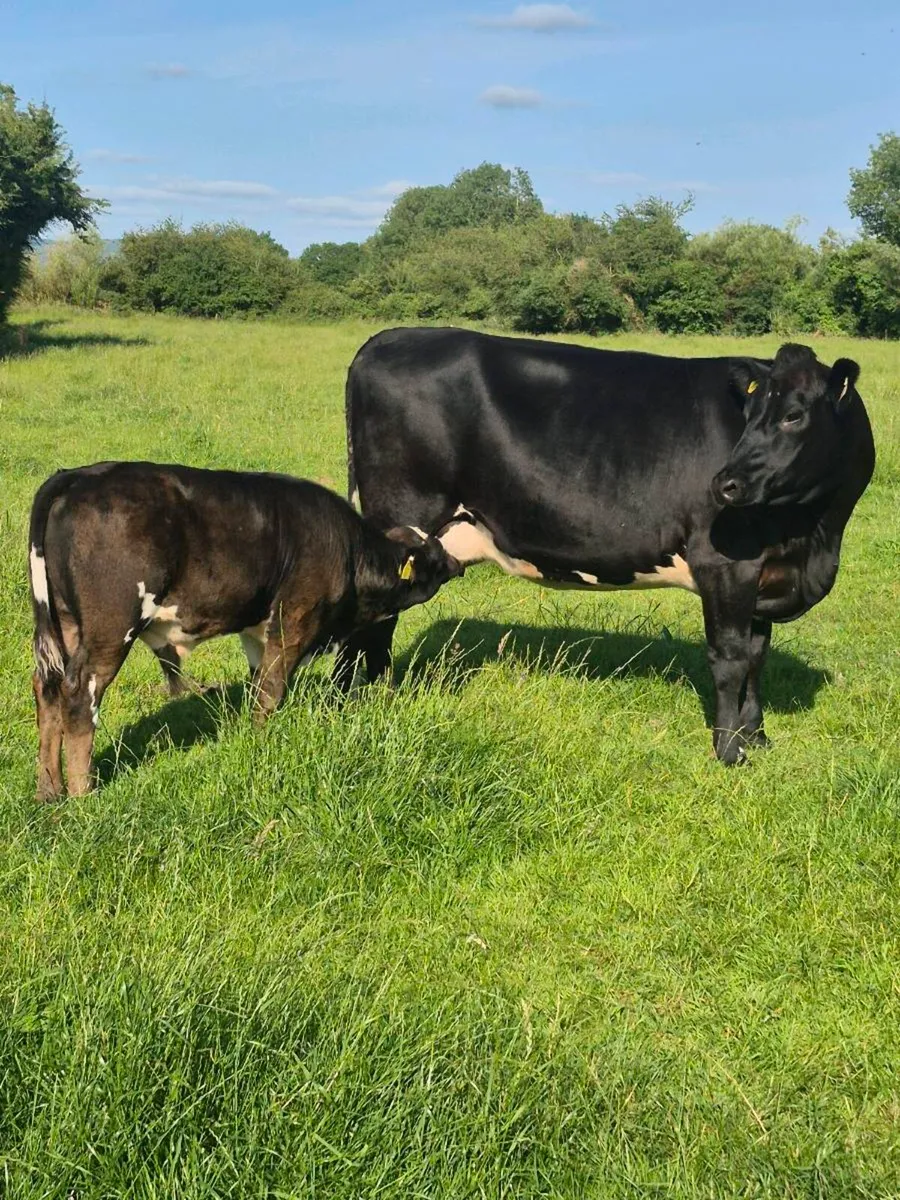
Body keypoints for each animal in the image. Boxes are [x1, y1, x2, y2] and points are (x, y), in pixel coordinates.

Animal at [28, 462, 463, 800]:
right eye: (433, 555)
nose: (458, 564)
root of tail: (78, 475)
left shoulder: (257, 630)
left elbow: (258, 686)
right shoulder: (294, 620)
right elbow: (271, 691)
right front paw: (264, 744)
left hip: (64, 623)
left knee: (47, 687)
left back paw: (49, 791)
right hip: (111, 626)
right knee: (78, 694)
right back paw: (83, 795)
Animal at [339, 331, 875, 764]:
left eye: (793, 415)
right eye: (750, 414)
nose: (725, 483)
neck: (814, 536)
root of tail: (383, 341)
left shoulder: (766, 572)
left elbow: (758, 657)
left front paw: (758, 737)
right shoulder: (726, 564)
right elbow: (730, 659)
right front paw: (729, 751)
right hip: (401, 521)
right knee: (369, 616)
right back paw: (353, 703)